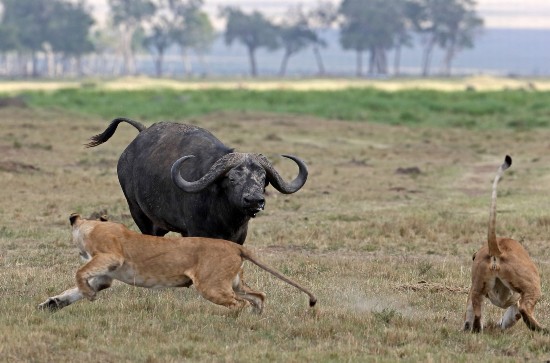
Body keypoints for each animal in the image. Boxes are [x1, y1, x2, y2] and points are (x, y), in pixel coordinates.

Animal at [87, 118, 310, 246]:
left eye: (263, 178)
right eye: (232, 178)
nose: (254, 200)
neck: (224, 215)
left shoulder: (240, 236)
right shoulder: (195, 232)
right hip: (138, 212)